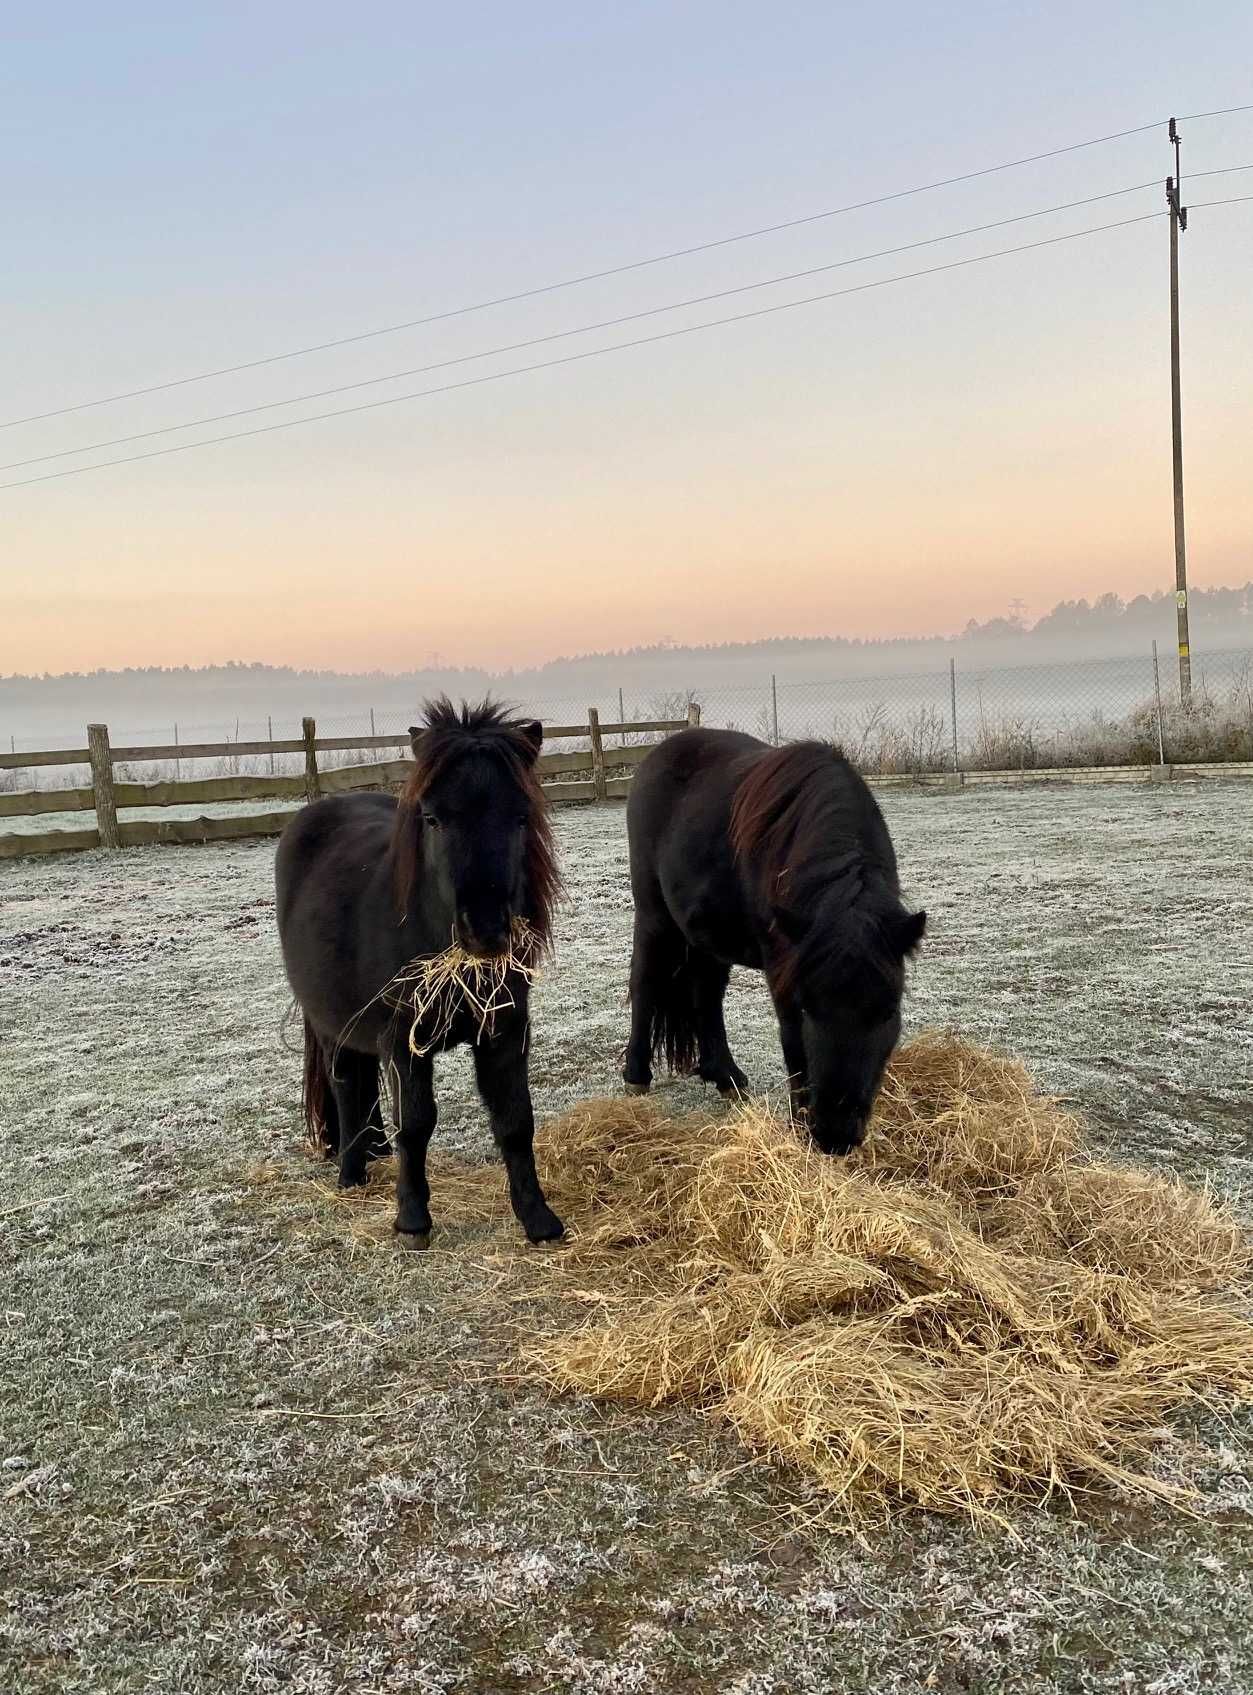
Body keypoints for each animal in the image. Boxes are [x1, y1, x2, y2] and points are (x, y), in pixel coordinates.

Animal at [279, 698, 569, 1247]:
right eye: (432, 819)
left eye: (521, 817)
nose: (484, 931)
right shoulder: (401, 1040)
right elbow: (415, 1124)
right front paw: (412, 1218)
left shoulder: (504, 1031)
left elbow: (516, 1119)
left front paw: (537, 1217)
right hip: (331, 1025)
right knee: (345, 1086)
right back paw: (351, 1172)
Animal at [623, 728, 929, 1152]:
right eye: (806, 1007)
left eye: (888, 1011)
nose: (835, 1136)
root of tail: (660, 753)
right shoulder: (782, 968)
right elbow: (793, 1044)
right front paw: (799, 1127)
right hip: (655, 916)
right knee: (646, 982)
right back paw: (637, 1077)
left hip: (706, 935)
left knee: (706, 995)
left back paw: (726, 1078)